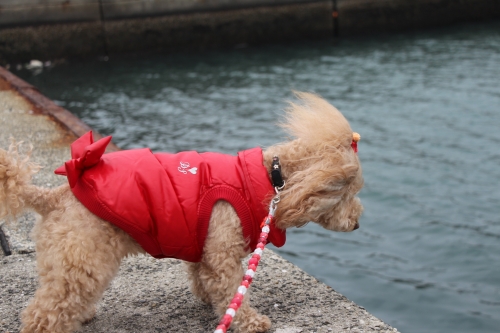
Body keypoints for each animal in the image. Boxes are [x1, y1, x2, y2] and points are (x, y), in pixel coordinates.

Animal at [1, 91, 366, 332]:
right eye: (348, 193)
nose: (358, 224)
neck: (269, 181)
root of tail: (53, 195)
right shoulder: (222, 249)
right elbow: (232, 291)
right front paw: (250, 321)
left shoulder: (203, 244)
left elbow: (202, 277)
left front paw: (206, 300)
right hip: (82, 255)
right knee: (43, 312)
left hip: (68, 260)